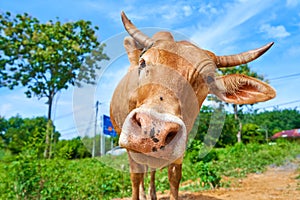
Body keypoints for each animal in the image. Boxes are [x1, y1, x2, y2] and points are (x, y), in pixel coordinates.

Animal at [109, 12, 276, 200]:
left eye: (208, 79)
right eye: (143, 62)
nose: (155, 129)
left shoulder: (179, 147)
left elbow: (174, 177)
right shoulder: (130, 148)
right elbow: (135, 177)